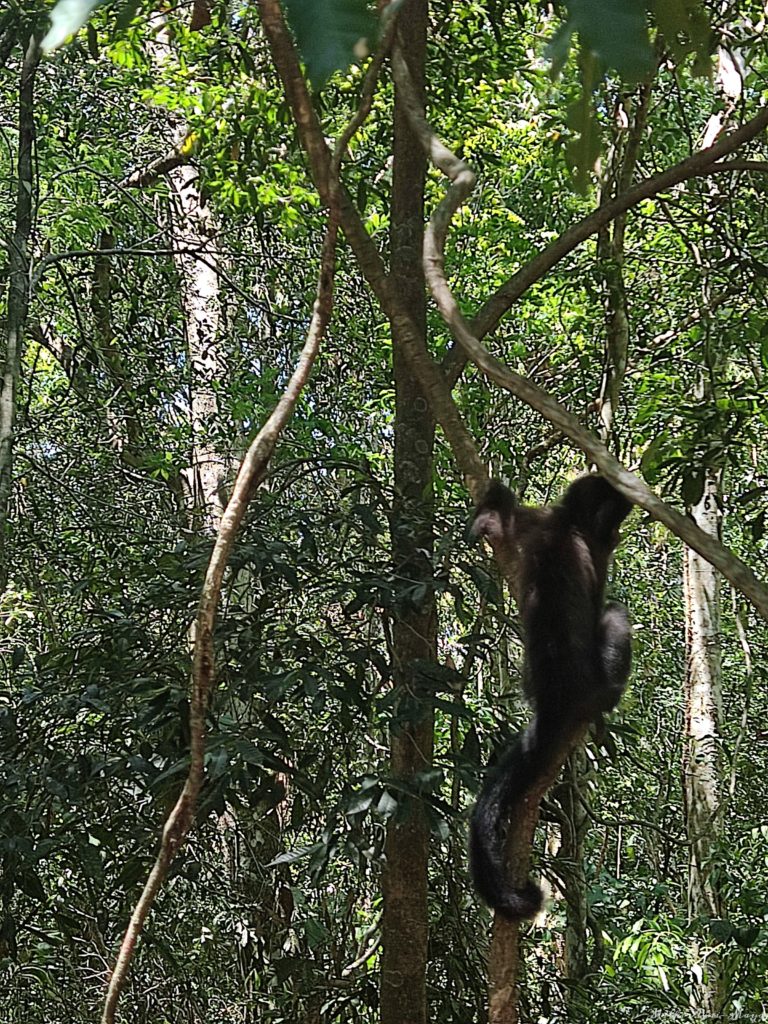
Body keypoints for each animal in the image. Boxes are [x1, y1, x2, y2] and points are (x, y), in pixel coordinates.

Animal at [468, 473, 630, 921]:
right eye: (614, 519)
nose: (616, 533)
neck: (566, 522)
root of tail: (554, 700)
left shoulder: (533, 521)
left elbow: (498, 517)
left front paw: (489, 502)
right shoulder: (590, 548)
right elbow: (601, 605)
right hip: (595, 686)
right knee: (616, 615)